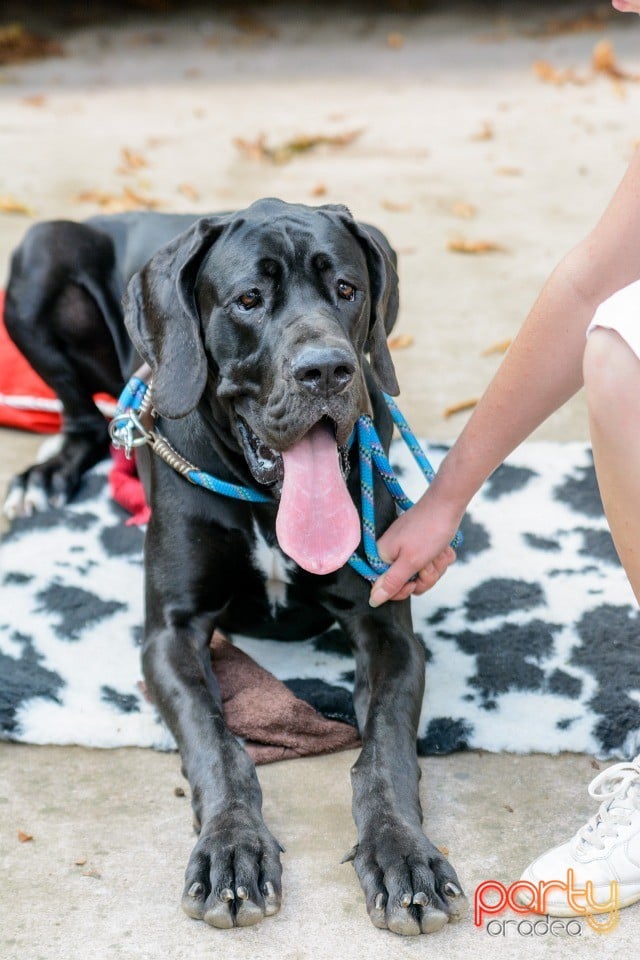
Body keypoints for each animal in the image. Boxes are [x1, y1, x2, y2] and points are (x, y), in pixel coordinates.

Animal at [2, 197, 468, 936]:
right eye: (250, 299)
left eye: (347, 289)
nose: (328, 370)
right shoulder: (171, 632)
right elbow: (218, 745)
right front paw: (231, 849)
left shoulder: (389, 631)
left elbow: (386, 752)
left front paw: (404, 855)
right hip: (39, 257)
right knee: (81, 421)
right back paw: (44, 477)